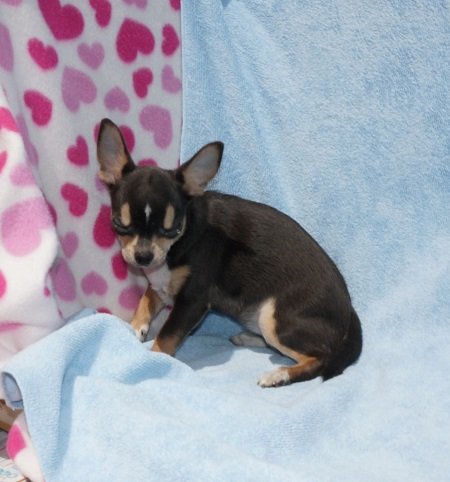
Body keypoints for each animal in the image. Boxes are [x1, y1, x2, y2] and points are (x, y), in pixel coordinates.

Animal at [97, 118, 362, 387]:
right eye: (119, 224)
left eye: (172, 229)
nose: (143, 257)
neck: (180, 243)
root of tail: (350, 312)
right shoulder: (162, 285)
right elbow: (146, 298)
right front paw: (135, 326)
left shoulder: (192, 301)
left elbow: (167, 336)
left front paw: (155, 360)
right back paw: (249, 338)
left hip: (275, 319)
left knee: (320, 360)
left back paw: (278, 374)